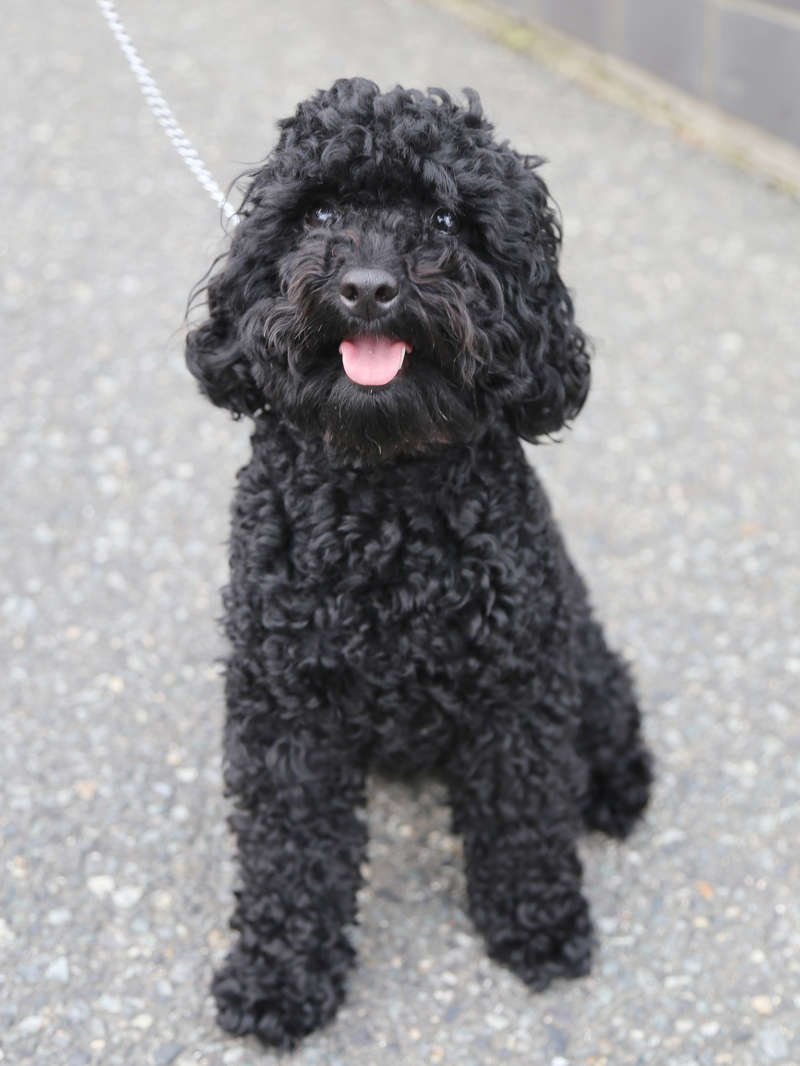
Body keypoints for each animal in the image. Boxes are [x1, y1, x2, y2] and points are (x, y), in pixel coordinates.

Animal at [186, 77, 652, 1048]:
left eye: (443, 219)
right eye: (319, 211)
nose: (368, 287)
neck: (385, 518)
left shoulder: (518, 690)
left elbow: (523, 818)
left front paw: (538, 926)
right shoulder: (284, 708)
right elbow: (290, 855)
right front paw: (279, 978)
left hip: (575, 646)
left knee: (608, 713)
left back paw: (615, 787)